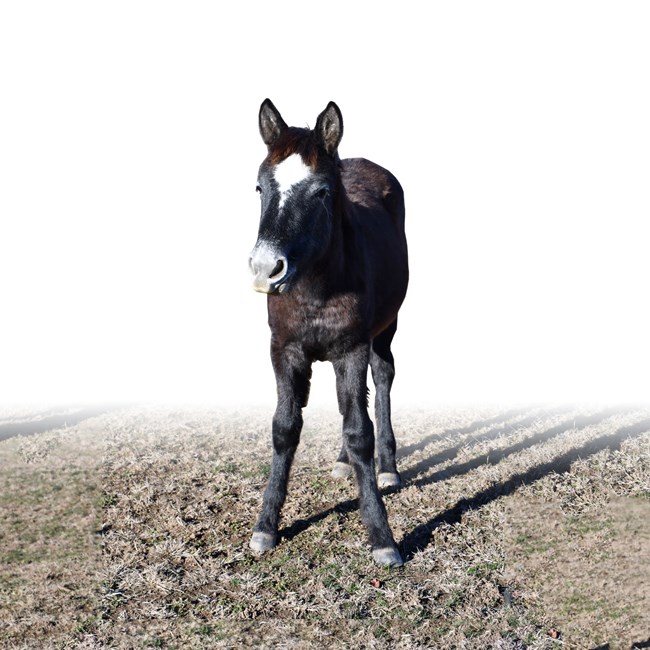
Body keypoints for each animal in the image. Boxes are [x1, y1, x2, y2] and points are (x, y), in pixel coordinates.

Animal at [247, 98, 404, 564]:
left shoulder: (351, 347)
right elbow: (285, 427)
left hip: (384, 328)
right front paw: (266, 527)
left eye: (320, 192)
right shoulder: (284, 349)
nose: (265, 269)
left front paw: (382, 536)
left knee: (382, 379)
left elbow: (359, 431)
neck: (316, 287)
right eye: (260, 188)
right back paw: (344, 462)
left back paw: (388, 469)